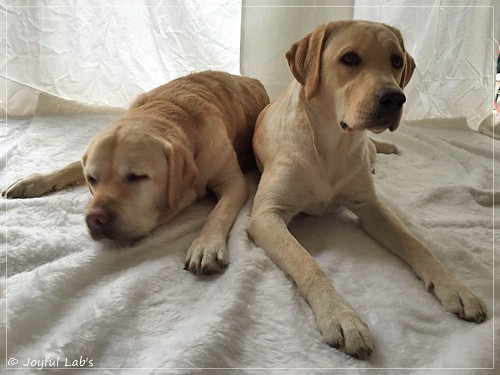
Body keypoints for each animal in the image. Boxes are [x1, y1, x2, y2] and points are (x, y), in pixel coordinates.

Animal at [3, 70, 270, 274]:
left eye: (137, 177)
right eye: (92, 179)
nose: (94, 219)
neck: (173, 111)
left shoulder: (234, 182)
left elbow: (218, 213)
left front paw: (206, 245)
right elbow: (70, 166)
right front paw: (33, 181)